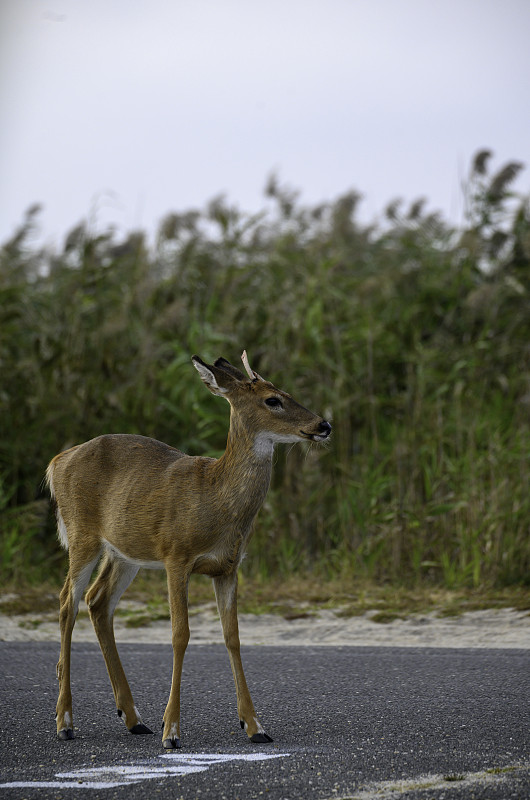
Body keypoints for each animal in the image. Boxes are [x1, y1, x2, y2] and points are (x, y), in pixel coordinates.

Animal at [47, 352, 332, 752]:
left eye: (288, 392)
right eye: (272, 400)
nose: (323, 425)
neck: (215, 498)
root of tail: (58, 460)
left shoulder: (228, 567)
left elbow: (233, 637)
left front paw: (255, 726)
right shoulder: (175, 556)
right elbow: (180, 635)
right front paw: (172, 731)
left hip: (124, 552)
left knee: (97, 601)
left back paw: (133, 719)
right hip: (82, 535)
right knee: (66, 602)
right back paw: (65, 722)